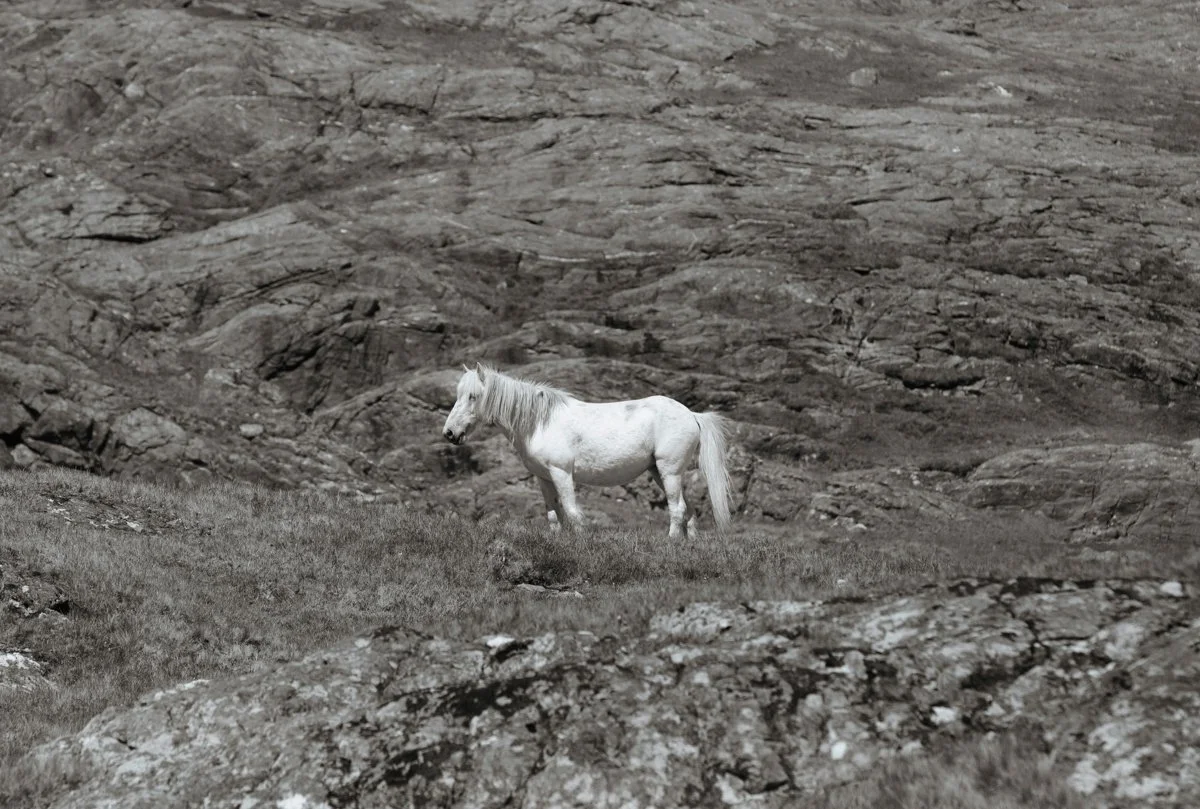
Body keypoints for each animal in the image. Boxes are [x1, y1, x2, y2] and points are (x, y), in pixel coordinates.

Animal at [442, 363, 732, 538]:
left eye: (473, 396)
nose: (450, 433)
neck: (540, 422)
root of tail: (692, 415)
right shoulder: (543, 477)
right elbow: (553, 513)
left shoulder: (561, 473)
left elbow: (571, 510)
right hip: (659, 472)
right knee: (688, 508)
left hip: (669, 471)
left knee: (677, 508)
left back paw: (671, 541)